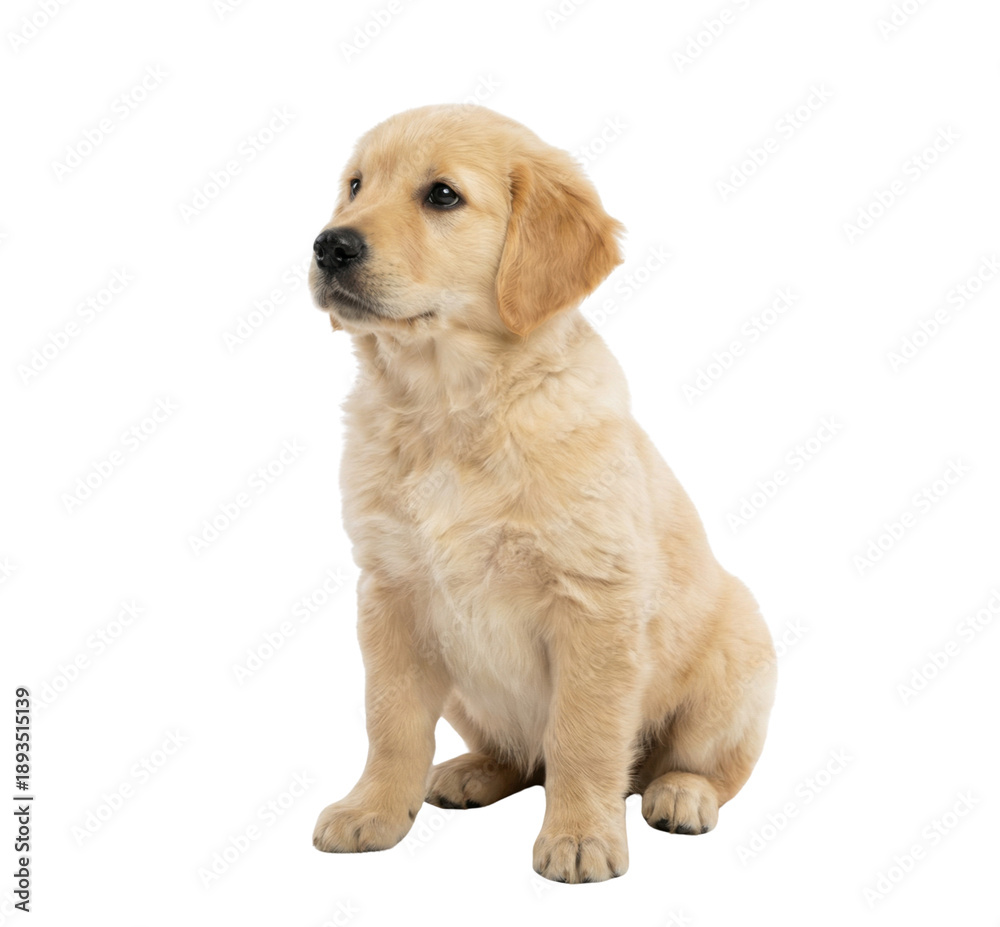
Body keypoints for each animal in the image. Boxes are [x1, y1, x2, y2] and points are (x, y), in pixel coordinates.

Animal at [308, 104, 776, 883]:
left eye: (442, 195)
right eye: (354, 186)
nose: (328, 245)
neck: (450, 407)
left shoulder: (593, 600)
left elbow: (582, 736)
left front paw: (581, 836)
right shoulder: (391, 591)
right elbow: (391, 721)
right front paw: (372, 809)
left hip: (738, 656)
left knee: (706, 766)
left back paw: (681, 793)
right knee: (523, 757)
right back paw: (471, 771)